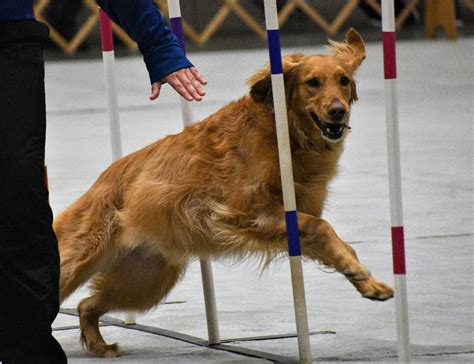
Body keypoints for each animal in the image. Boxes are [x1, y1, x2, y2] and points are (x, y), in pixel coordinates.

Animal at [55, 29, 394, 358]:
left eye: (343, 80)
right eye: (313, 83)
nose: (339, 111)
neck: (284, 132)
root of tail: (102, 180)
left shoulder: (292, 220)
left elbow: (333, 240)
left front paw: (368, 283)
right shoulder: (246, 213)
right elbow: (322, 227)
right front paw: (358, 271)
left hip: (145, 278)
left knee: (86, 305)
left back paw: (100, 346)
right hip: (81, 260)